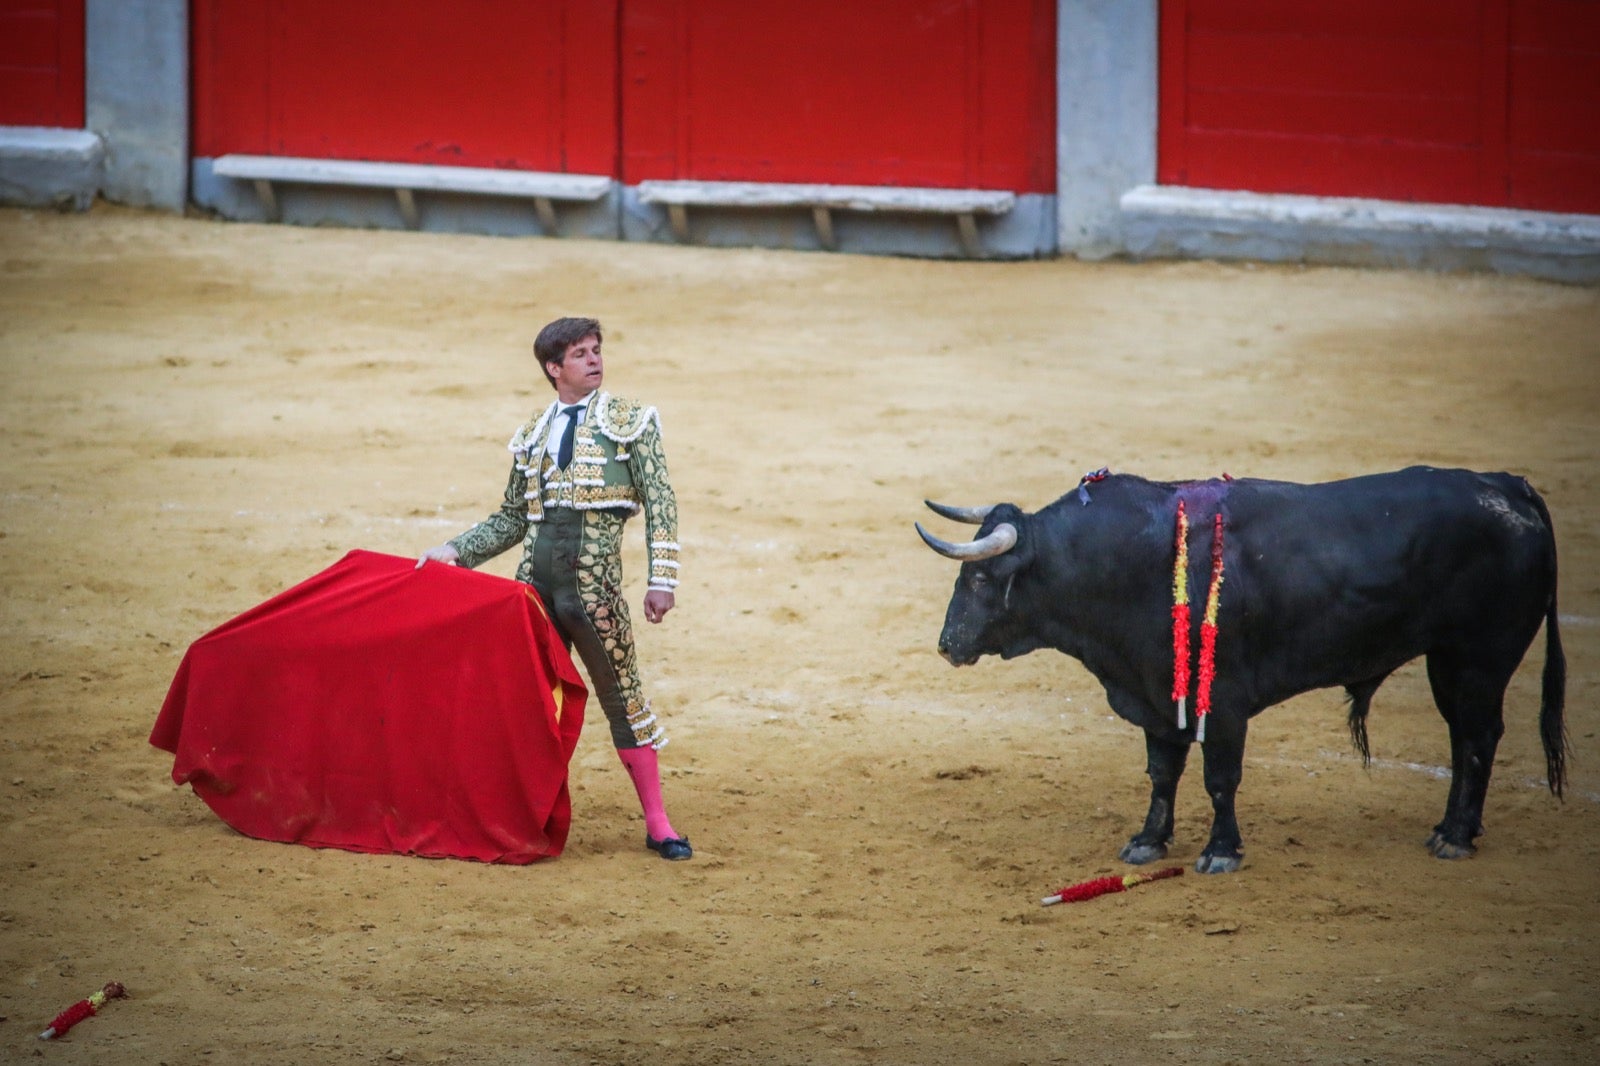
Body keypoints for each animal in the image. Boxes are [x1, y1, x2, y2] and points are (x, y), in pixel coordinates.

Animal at [921, 467, 1568, 870]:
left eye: (981, 578)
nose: (948, 644)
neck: (1129, 560)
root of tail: (1509, 486)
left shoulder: (1224, 703)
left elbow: (1219, 778)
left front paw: (1221, 852)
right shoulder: (1159, 695)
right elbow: (1163, 773)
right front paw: (1148, 842)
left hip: (1480, 656)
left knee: (1479, 735)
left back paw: (1456, 837)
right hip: (1448, 658)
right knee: (1464, 737)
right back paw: (1451, 830)